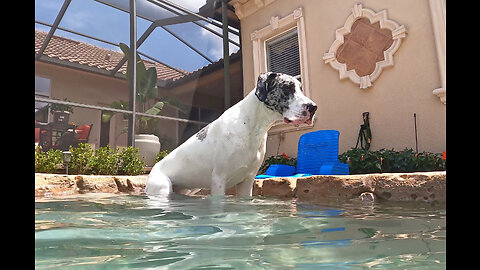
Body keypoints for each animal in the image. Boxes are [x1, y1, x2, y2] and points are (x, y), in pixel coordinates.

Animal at [146, 71, 318, 197]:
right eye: (287, 88)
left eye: (301, 88)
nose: (313, 107)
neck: (251, 126)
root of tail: (153, 169)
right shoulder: (218, 180)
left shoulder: (247, 182)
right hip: (162, 187)